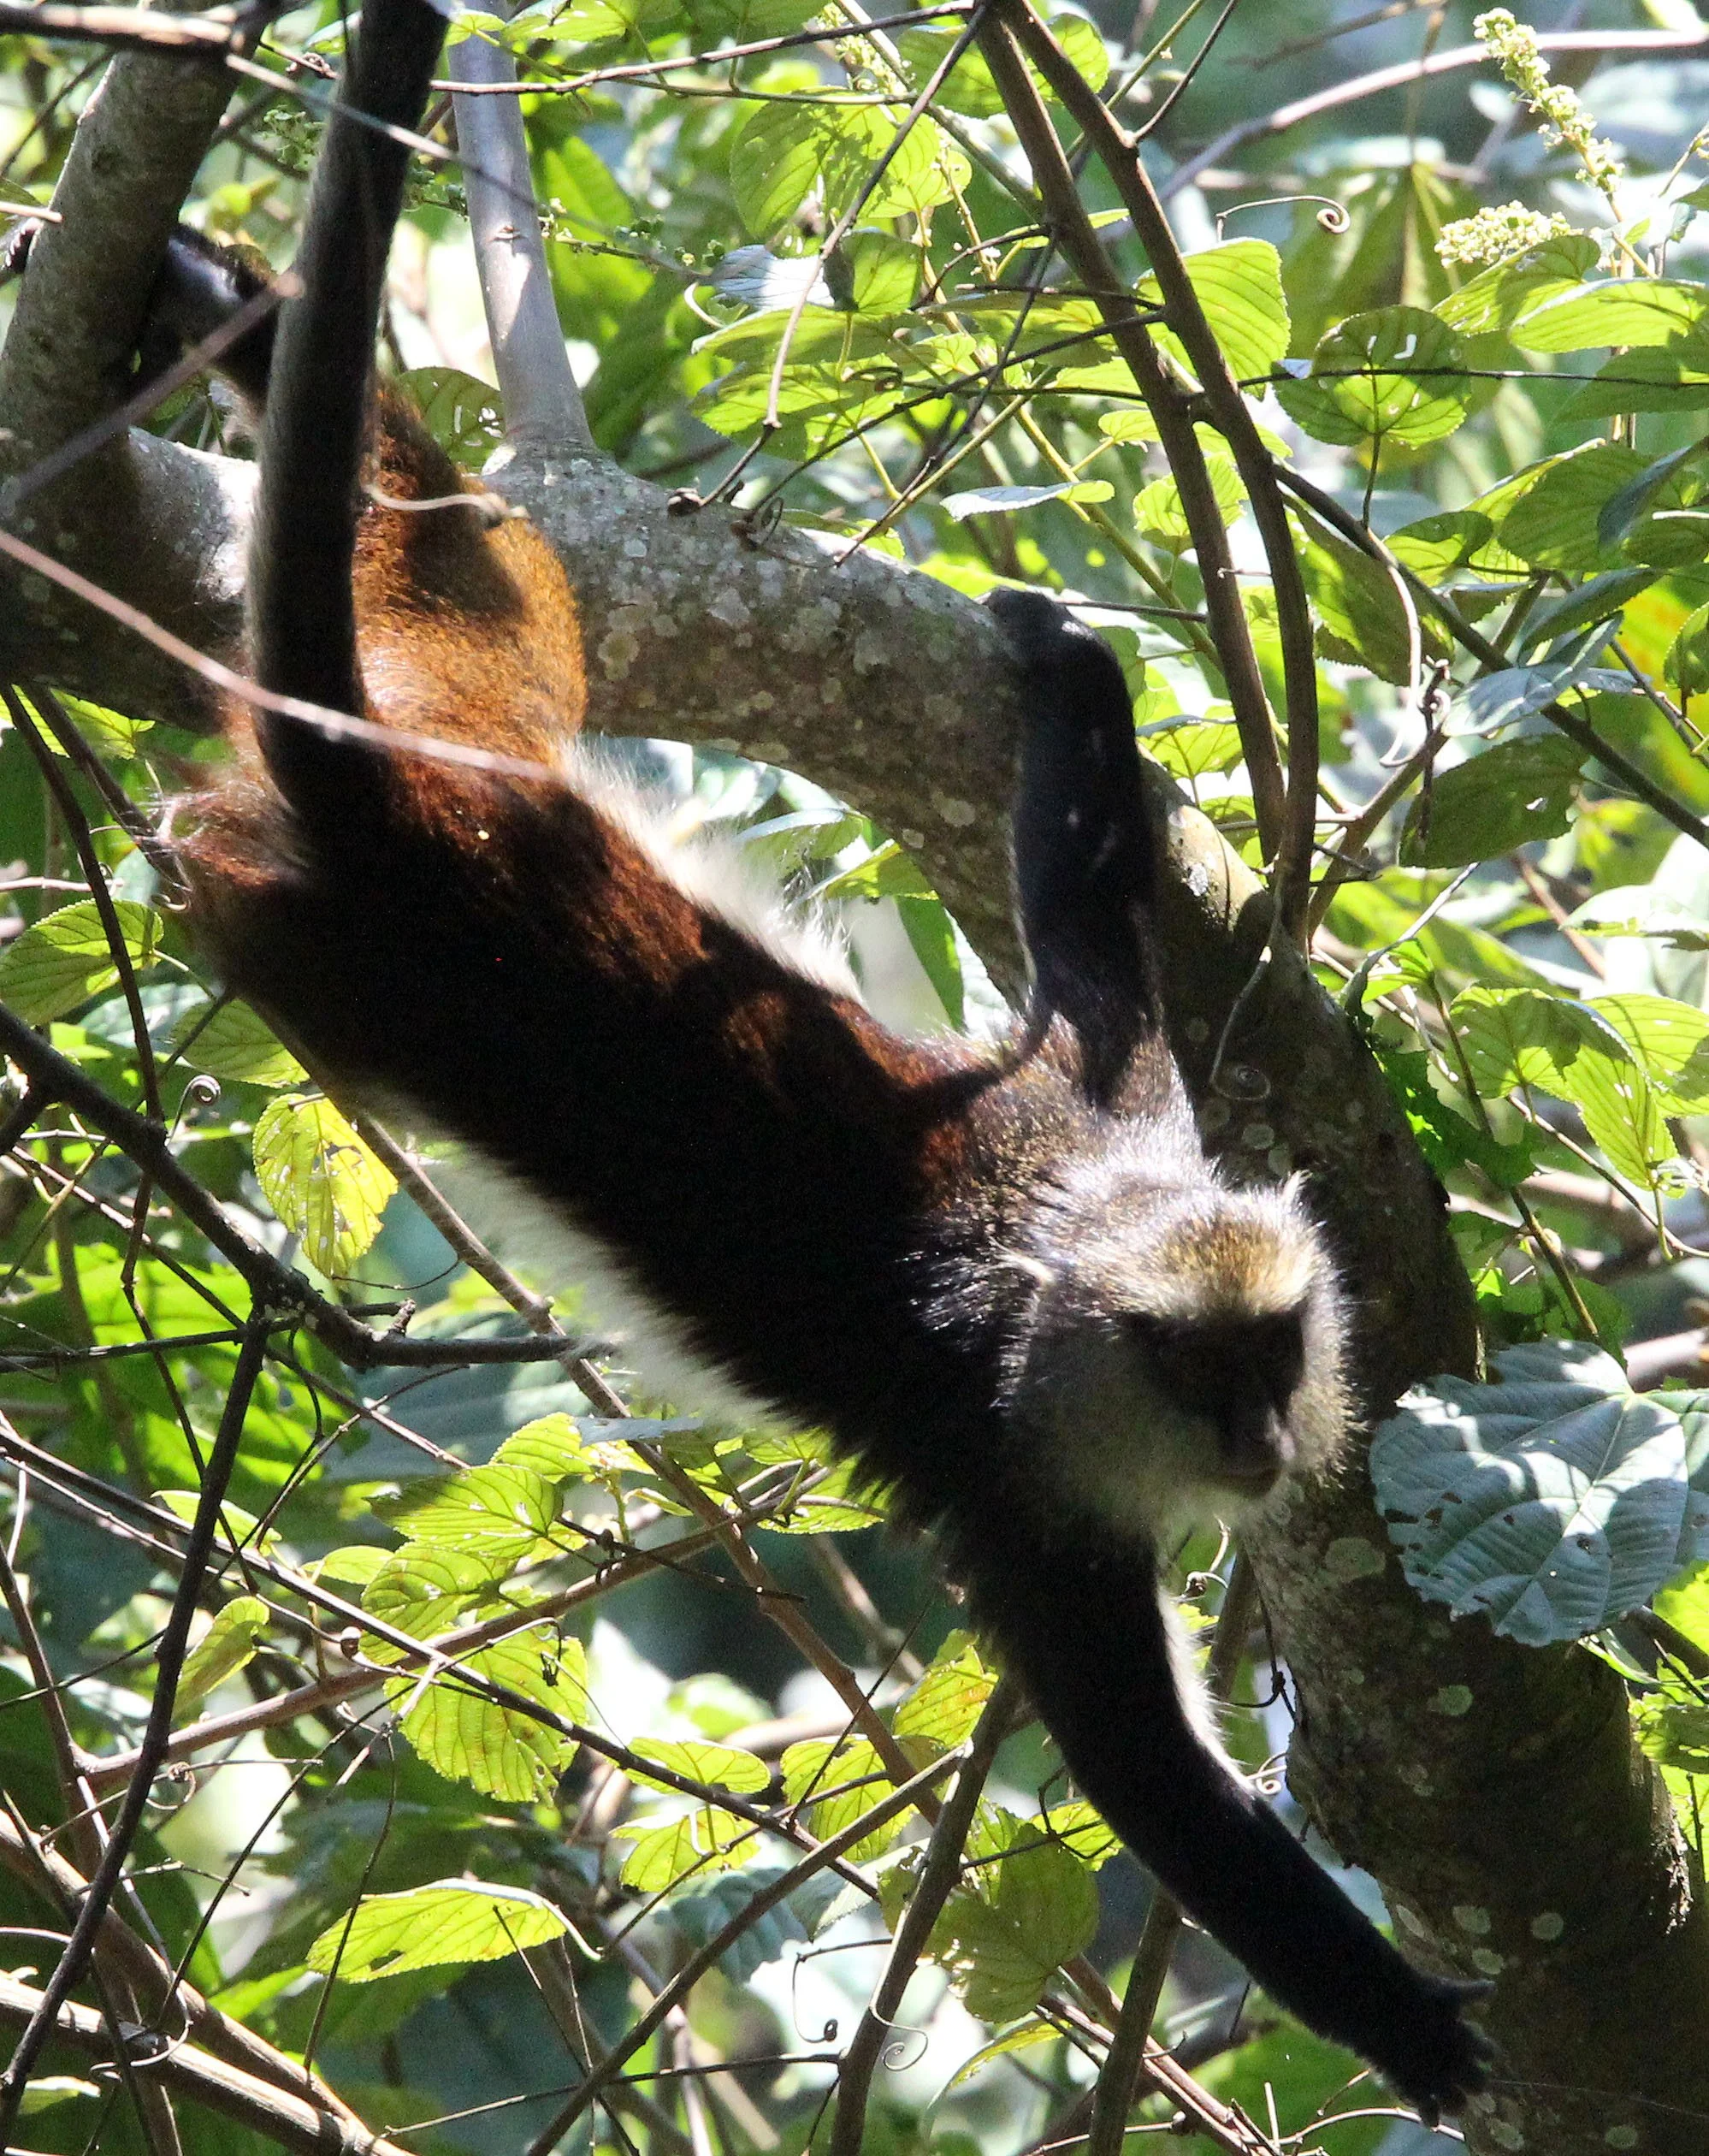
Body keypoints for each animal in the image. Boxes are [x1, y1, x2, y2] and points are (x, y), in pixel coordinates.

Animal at [90, 0, 1492, 2119]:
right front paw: (1407, 2017)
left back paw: (229, 321)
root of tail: (397, 813)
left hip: (451, 724)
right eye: (1203, 1376)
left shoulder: (1112, 1108)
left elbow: (1087, 945)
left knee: (450, 556)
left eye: (1274, 1357)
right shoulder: (1023, 1487)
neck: (1061, 1259)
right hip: (441, 789)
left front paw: (1068, 681)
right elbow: (1152, 1790)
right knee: (495, 586)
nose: (1261, 1443)